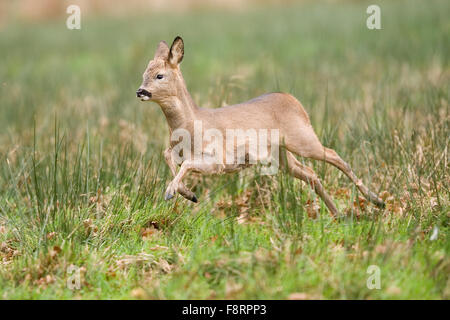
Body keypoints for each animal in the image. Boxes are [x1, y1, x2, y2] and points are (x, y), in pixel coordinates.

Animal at [135, 36, 384, 216]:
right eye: (143, 73)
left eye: (159, 75)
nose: (140, 91)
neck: (190, 125)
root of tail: (294, 101)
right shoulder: (175, 149)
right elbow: (167, 155)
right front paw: (187, 194)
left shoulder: (218, 159)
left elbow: (186, 164)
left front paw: (171, 192)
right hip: (281, 155)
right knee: (311, 174)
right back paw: (338, 214)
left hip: (302, 138)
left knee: (333, 155)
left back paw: (376, 200)